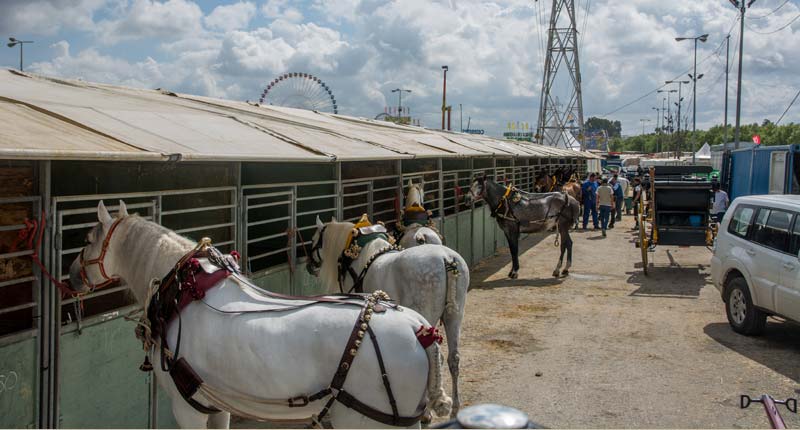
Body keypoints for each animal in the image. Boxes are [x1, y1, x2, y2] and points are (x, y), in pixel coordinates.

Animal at [69, 201, 438, 426]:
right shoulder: (218, 405)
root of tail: (419, 329)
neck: (182, 293)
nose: (72, 276)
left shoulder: (186, 407)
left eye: (87, 238)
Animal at [306, 217, 468, 418]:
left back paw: (427, 413)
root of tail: (446, 258)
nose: (309, 265)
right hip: (455, 316)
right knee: (454, 358)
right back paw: (454, 409)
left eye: (313, 240)